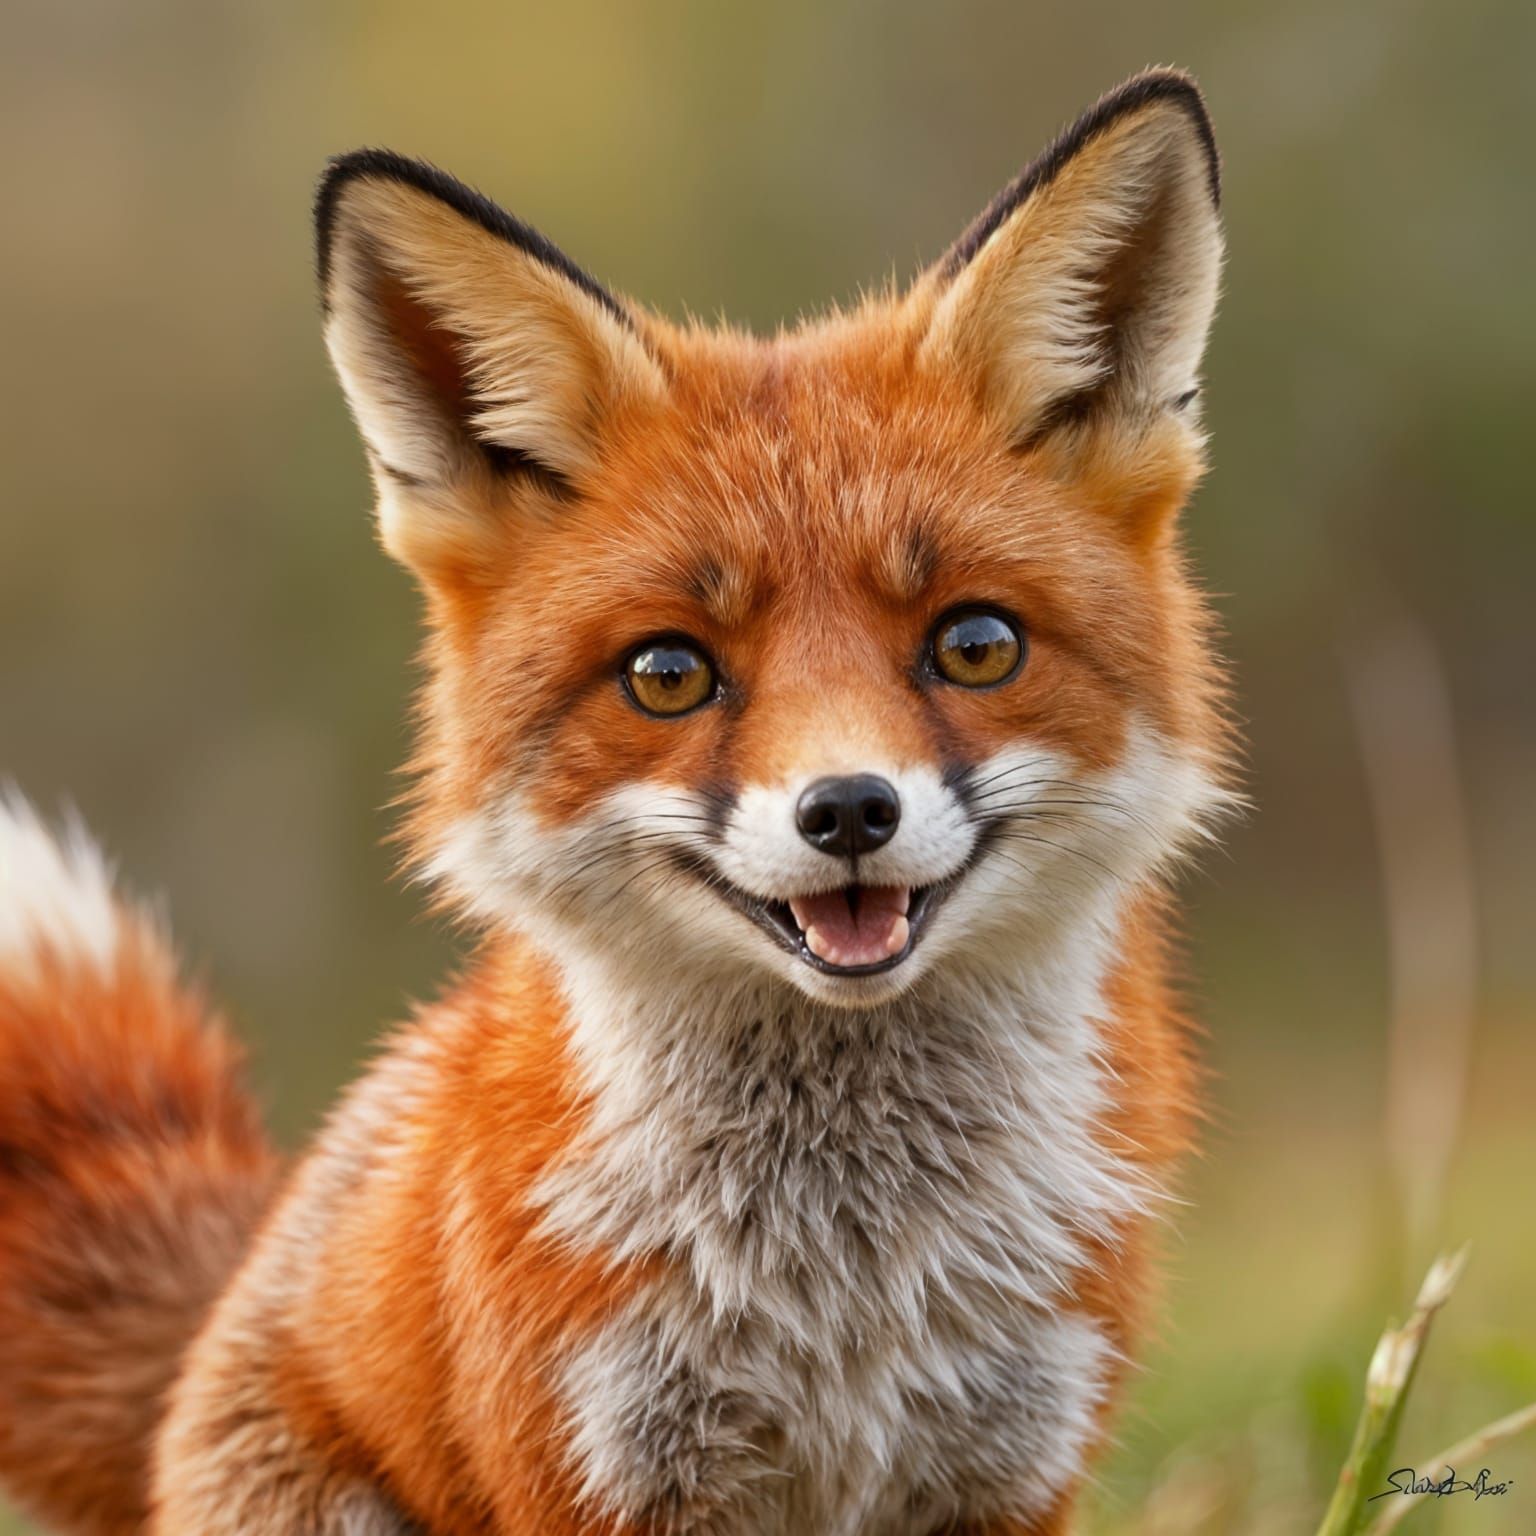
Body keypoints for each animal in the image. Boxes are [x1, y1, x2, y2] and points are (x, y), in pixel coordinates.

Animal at [0, 68, 1232, 1536]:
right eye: (667, 674)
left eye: (976, 646)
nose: (848, 812)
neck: (847, 1285)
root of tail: (239, 1278)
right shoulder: (601, 1471)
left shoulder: (1006, 1468)